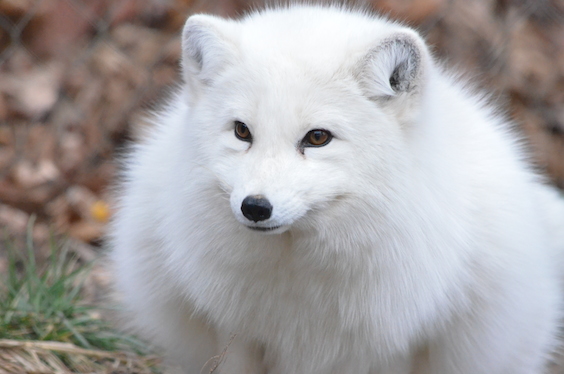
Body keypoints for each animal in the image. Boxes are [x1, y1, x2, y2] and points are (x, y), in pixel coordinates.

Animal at [110, 3, 564, 374]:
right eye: (241, 132)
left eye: (317, 138)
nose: (255, 207)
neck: (299, 277)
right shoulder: (235, 332)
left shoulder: (394, 345)